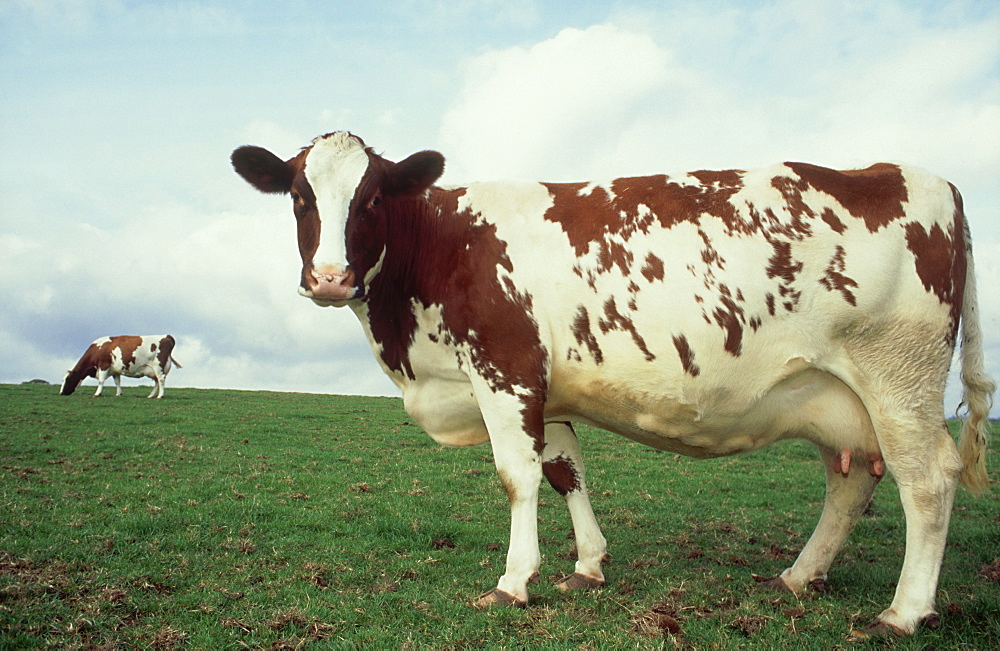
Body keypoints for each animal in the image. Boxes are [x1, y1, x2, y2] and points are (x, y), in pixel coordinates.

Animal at [232, 132, 992, 636]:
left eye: (371, 198)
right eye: (298, 195)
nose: (330, 278)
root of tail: (920, 178)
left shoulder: (505, 368)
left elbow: (517, 477)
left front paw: (514, 581)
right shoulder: (546, 389)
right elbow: (565, 469)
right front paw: (587, 566)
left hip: (899, 377)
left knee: (927, 481)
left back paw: (903, 611)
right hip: (837, 394)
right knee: (852, 476)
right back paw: (800, 576)